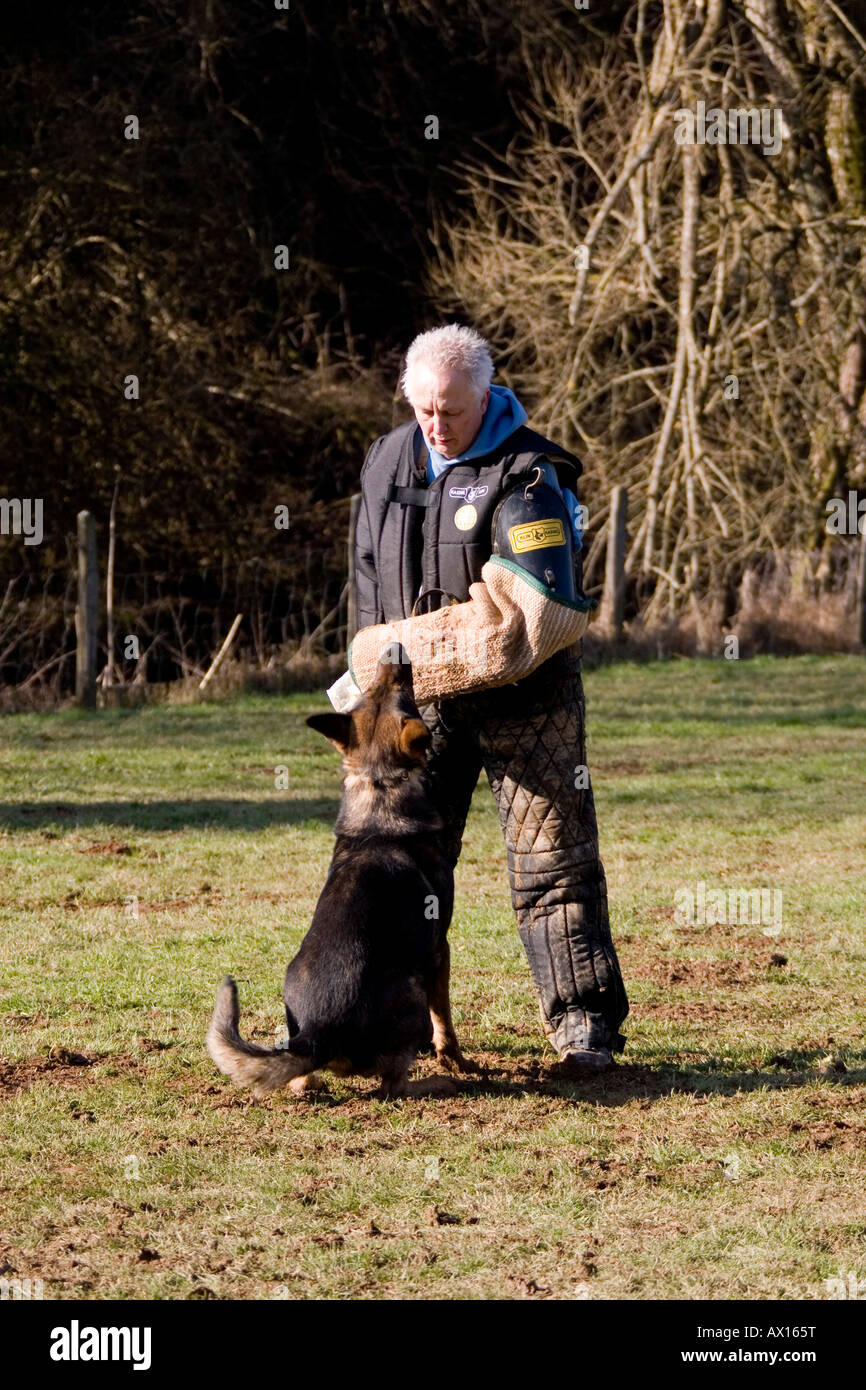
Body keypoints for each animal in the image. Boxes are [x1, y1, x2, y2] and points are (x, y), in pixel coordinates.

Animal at [204, 647, 475, 1095]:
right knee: (392, 1085)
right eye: (404, 694)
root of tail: (319, 1033)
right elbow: (446, 1019)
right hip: (413, 995)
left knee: (300, 1082)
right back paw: (436, 1082)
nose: (394, 649)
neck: (379, 783)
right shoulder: (440, 950)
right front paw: (455, 1060)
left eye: (376, 689)